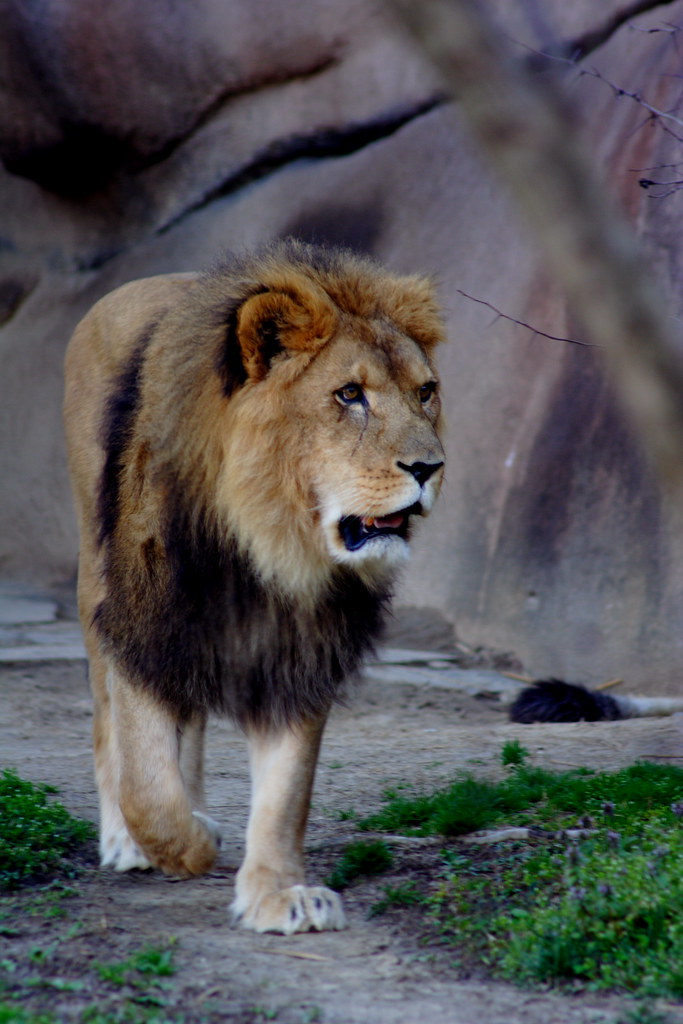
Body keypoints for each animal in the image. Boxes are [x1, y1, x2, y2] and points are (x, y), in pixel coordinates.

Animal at [63, 240, 446, 934]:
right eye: (350, 394)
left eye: (425, 391)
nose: (429, 466)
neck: (269, 546)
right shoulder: (143, 616)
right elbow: (146, 783)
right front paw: (185, 845)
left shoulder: (302, 650)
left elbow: (286, 789)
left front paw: (279, 894)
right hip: (94, 573)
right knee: (110, 722)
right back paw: (128, 841)